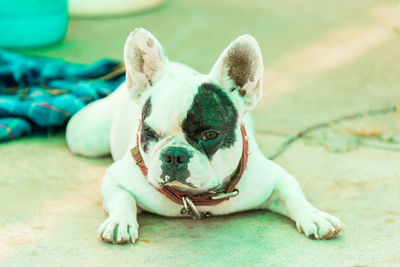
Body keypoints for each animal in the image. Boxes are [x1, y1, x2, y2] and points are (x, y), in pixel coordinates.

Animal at [67, 28, 342, 244]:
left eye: (210, 134)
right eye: (148, 132)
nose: (174, 155)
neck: (195, 198)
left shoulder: (276, 178)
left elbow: (294, 195)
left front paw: (316, 217)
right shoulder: (115, 178)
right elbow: (123, 198)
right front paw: (120, 222)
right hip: (84, 137)